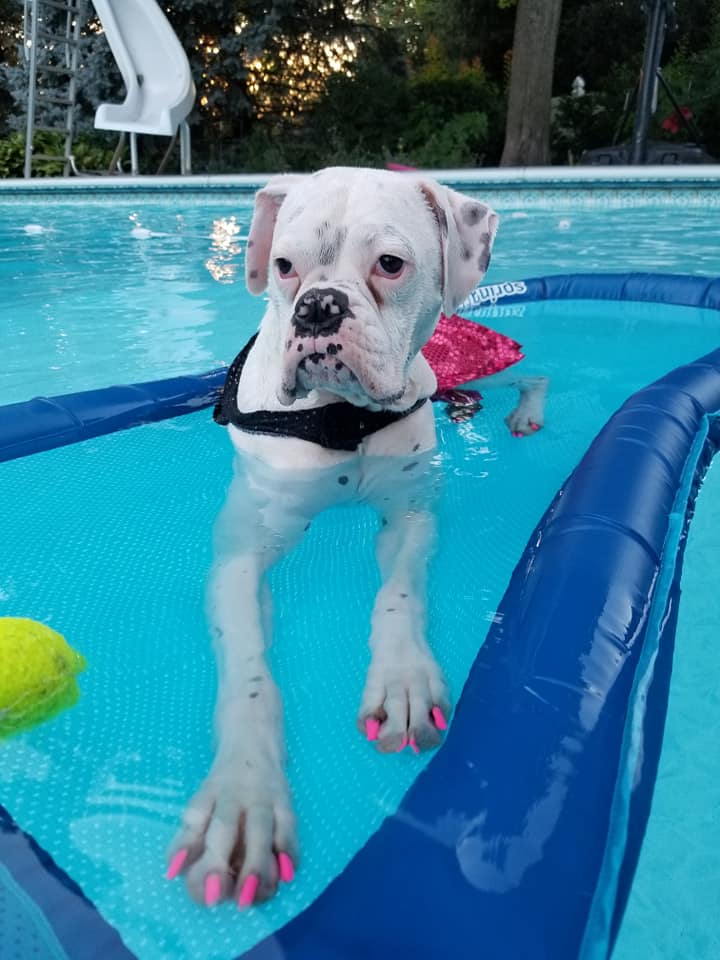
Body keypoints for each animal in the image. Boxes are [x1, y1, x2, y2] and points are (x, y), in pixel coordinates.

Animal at [165, 169, 544, 912]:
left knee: (529, 372)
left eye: (390, 264)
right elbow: (249, 673)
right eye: (284, 266)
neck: (339, 416)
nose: (319, 307)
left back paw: (526, 411)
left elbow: (399, 596)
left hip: (482, 359)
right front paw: (244, 796)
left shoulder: (411, 516)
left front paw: (402, 680)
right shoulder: (240, 559)